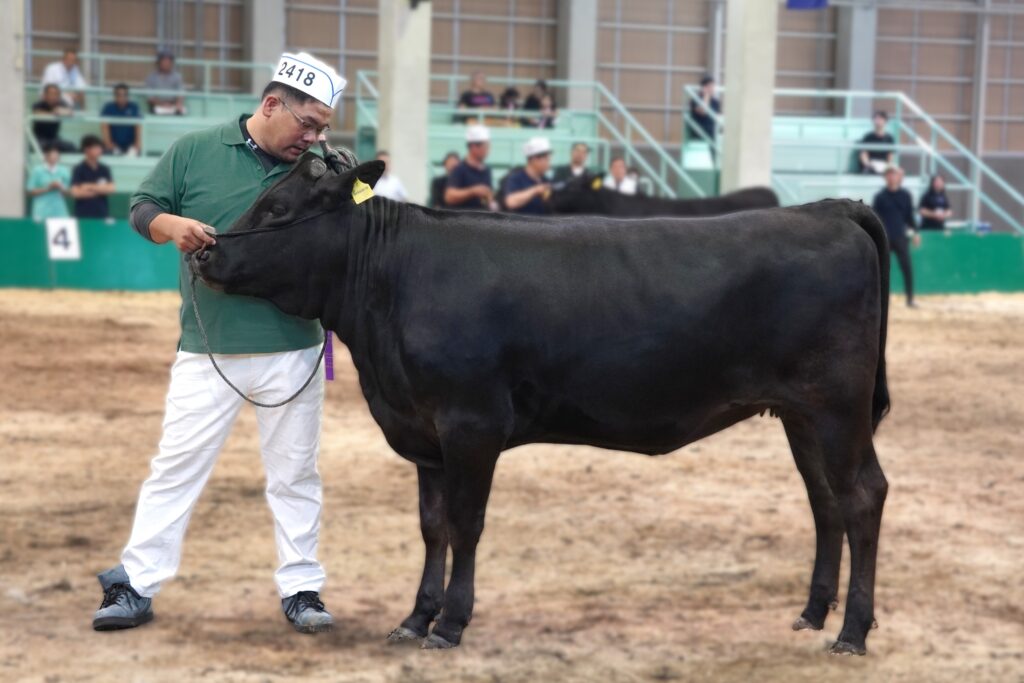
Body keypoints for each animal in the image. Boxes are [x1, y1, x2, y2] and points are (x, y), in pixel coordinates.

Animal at [195, 154, 892, 655]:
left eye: (278, 207)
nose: (206, 250)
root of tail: (830, 208)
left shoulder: (471, 423)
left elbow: (465, 523)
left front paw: (450, 624)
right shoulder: (423, 433)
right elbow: (431, 526)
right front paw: (415, 617)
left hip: (837, 407)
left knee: (862, 496)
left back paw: (851, 633)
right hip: (801, 415)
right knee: (825, 501)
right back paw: (811, 613)